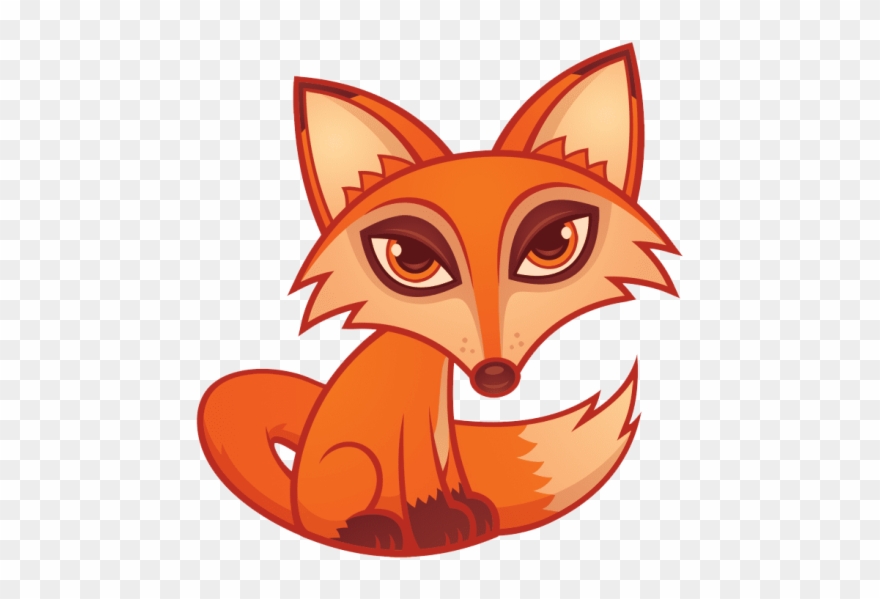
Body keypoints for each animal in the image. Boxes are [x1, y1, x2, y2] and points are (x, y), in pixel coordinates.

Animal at [197, 44, 678, 557]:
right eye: (410, 257)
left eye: (553, 244)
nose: (494, 375)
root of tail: (292, 494)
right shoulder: (404, 436)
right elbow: (416, 489)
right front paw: (433, 525)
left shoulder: (439, 441)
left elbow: (448, 483)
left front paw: (462, 513)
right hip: (351, 464)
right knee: (325, 520)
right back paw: (370, 529)